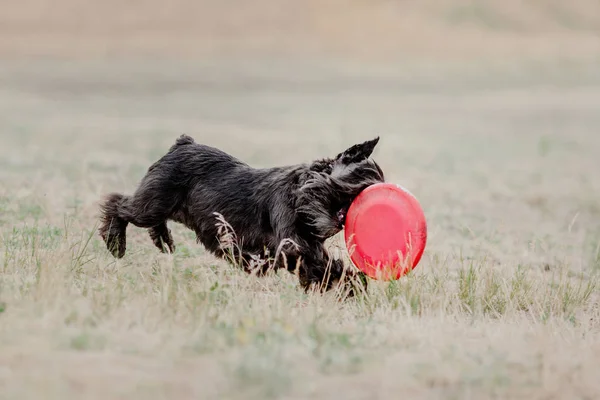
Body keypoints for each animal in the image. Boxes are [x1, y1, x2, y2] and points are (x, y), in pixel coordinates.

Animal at [96, 136, 382, 296]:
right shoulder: (293, 246)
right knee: (118, 205)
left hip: (161, 207)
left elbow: (318, 266)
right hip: (152, 204)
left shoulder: (301, 247)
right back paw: (115, 242)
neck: (300, 192)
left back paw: (163, 240)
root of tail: (183, 144)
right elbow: (323, 265)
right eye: (360, 178)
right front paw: (352, 283)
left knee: (150, 219)